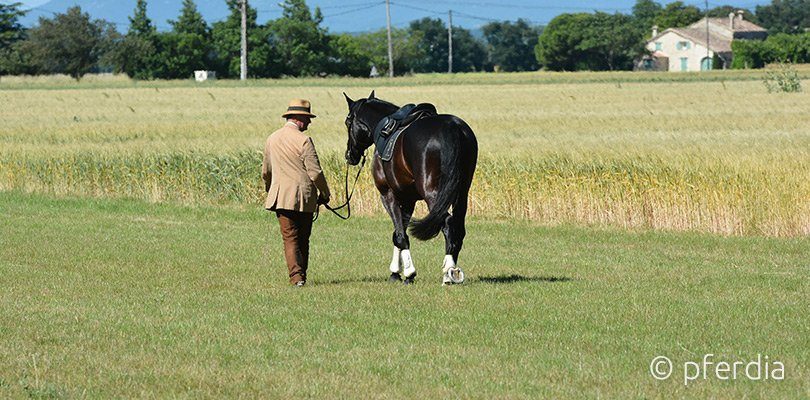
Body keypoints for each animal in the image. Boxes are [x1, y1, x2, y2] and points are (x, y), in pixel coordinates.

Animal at [344, 91, 476, 284]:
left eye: (348, 122)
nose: (349, 155)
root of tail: (453, 129)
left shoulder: (388, 195)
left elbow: (400, 234)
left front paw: (408, 272)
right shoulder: (408, 199)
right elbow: (398, 233)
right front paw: (396, 272)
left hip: (433, 194)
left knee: (447, 223)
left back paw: (448, 272)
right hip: (461, 193)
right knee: (458, 229)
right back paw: (453, 270)